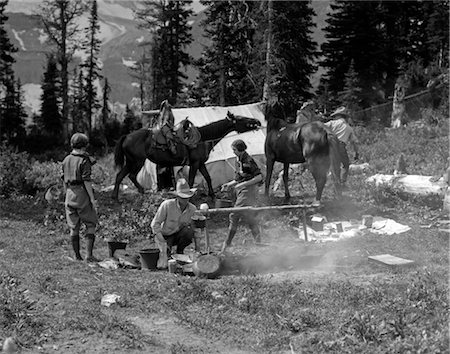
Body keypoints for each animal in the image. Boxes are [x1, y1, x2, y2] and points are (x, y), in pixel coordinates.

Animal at [112, 111, 260, 199]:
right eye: (240, 118)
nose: (257, 121)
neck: (203, 138)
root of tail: (126, 137)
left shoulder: (201, 163)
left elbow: (208, 177)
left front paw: (212, 195)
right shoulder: (194, 163)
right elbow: (191, 180)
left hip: (131, 161)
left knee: (121, 176)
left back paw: (118, 196)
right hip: (137, 161)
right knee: (130, 175)